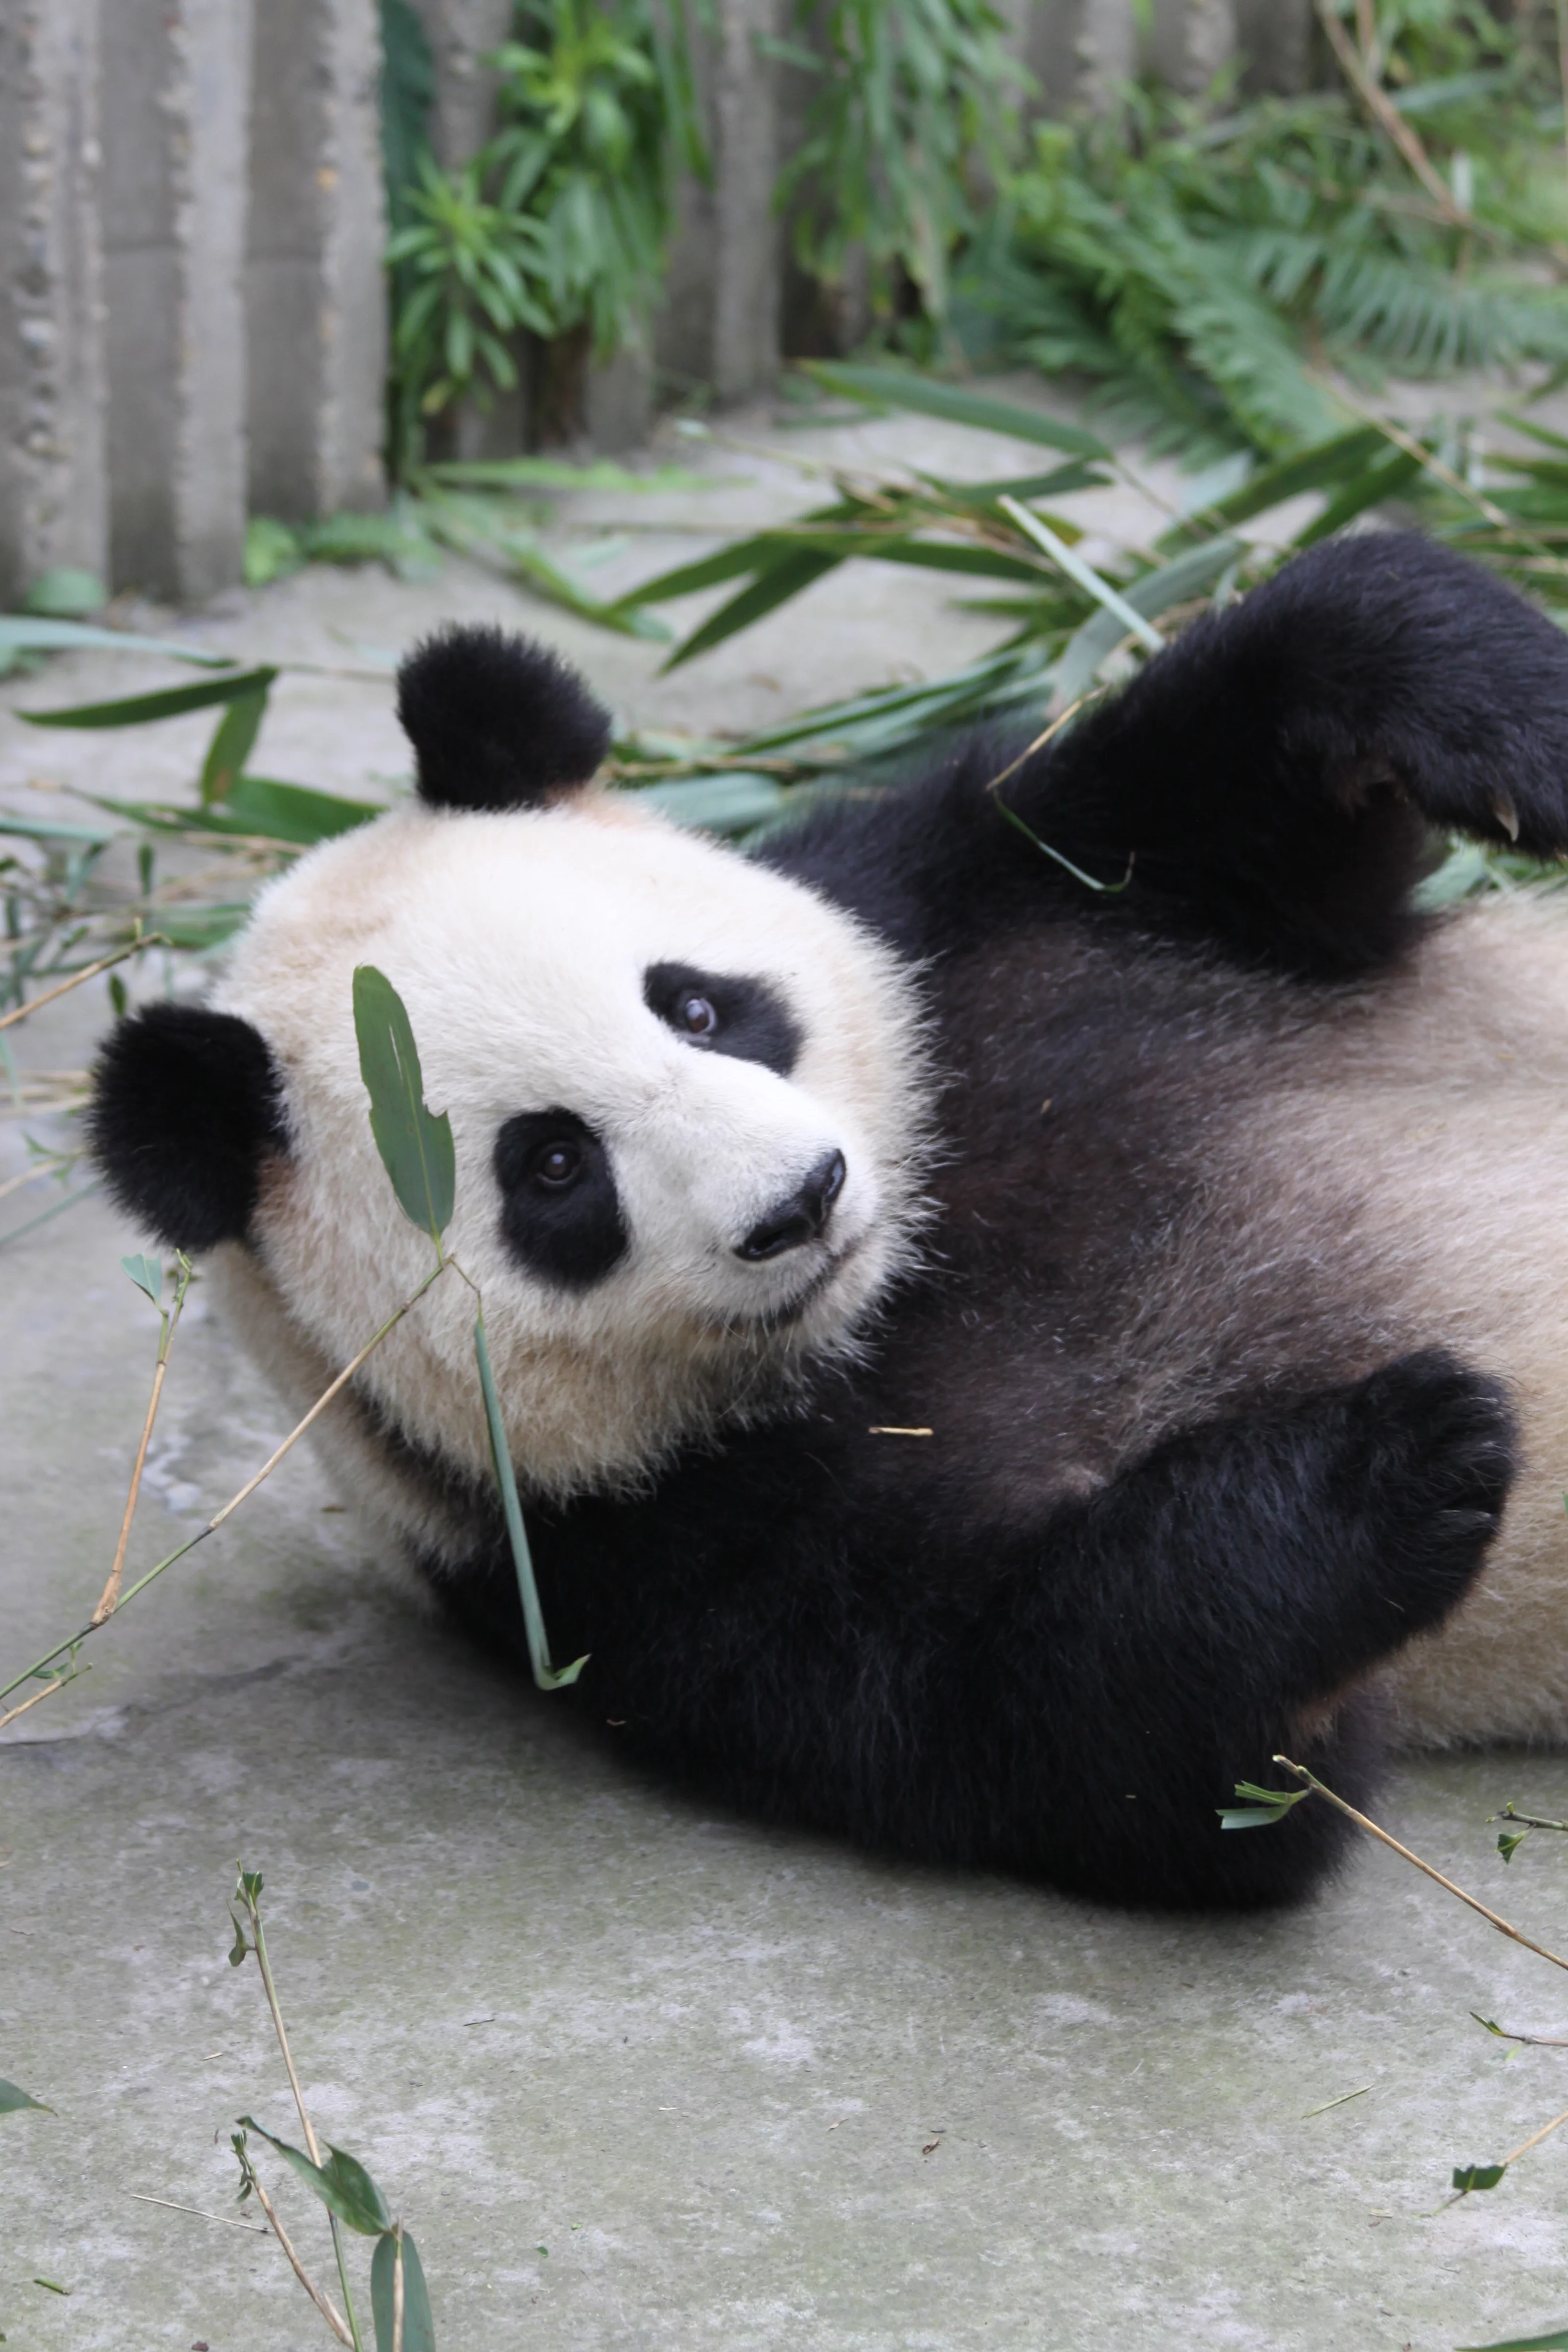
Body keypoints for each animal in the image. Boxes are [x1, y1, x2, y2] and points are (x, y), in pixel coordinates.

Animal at [88, 530, 1568, 1909]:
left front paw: (1516, 735)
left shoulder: (957, 904)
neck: (910, 1271)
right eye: (554, 1168)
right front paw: (1403, 1454)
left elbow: (1223, 784)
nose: (800, 1201)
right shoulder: (637, 1565)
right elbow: (1097, 1730)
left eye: (695, 1005)